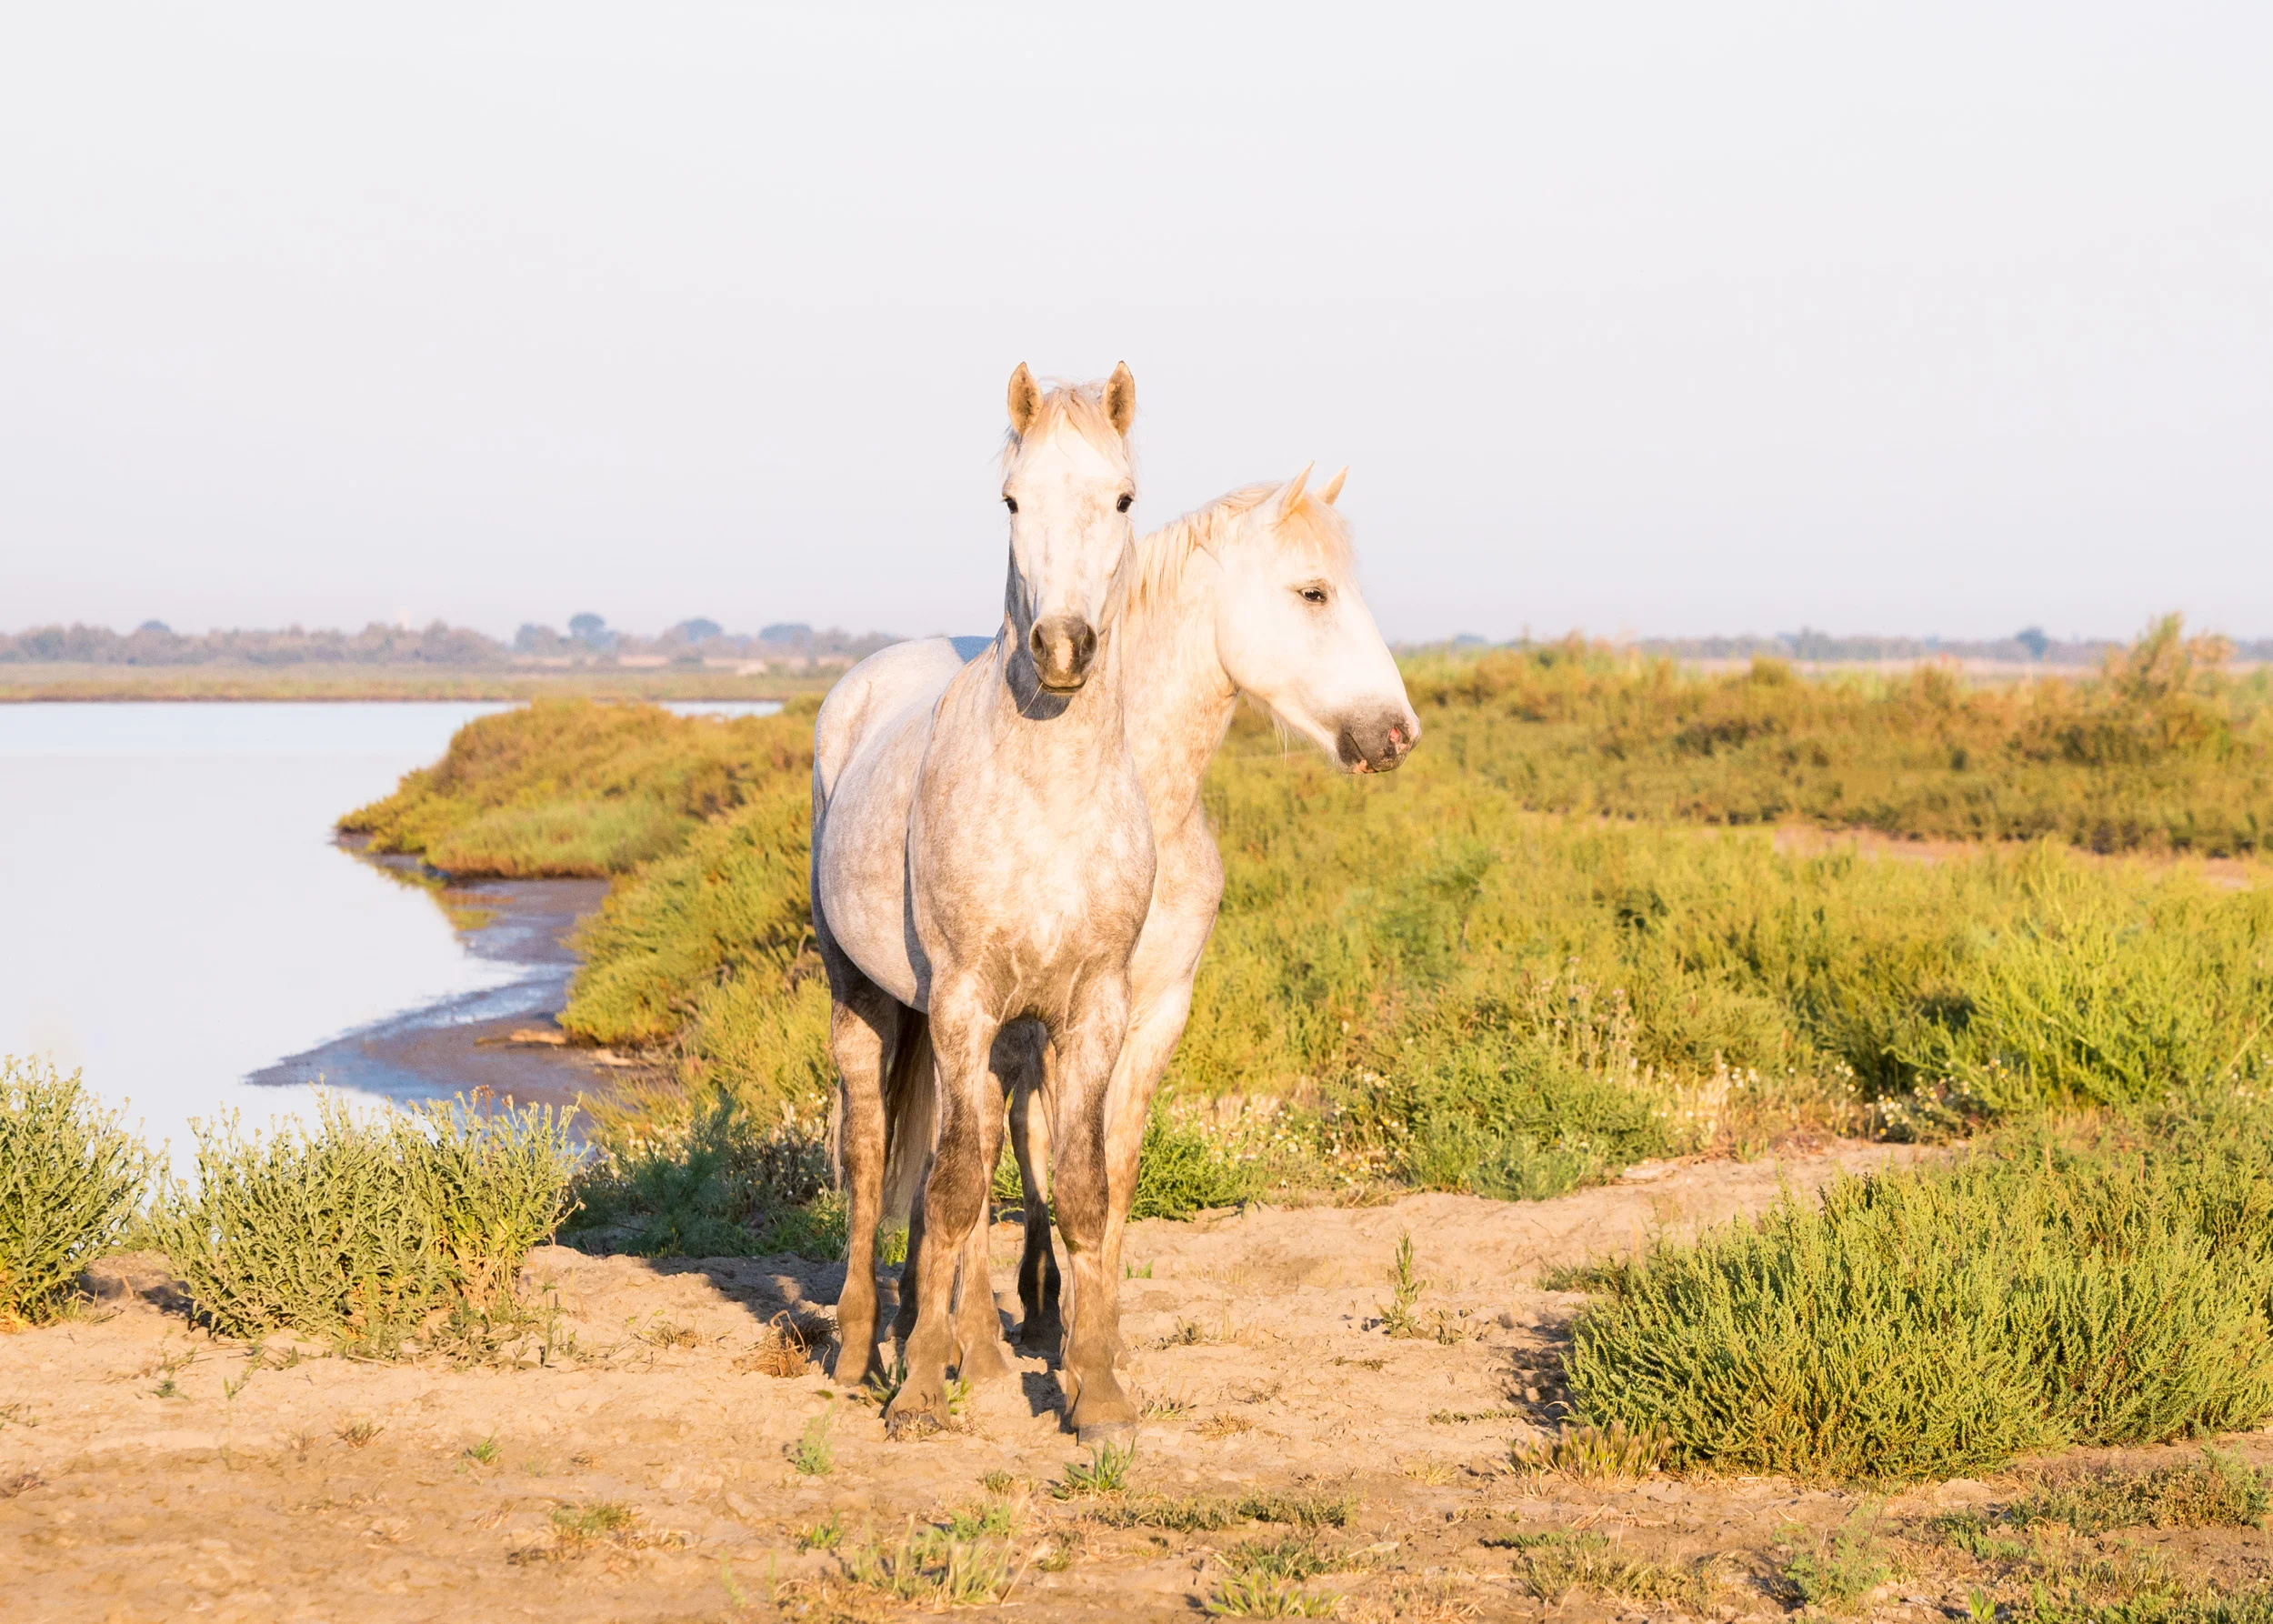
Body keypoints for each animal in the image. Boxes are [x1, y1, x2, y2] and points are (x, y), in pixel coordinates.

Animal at [876, 467, 1421, 1406]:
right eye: (1313, 592)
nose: (1397, 733)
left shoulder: (1154, 1011)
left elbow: (1110, 1170)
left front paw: (1100, 1344)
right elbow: (1021, 1162)